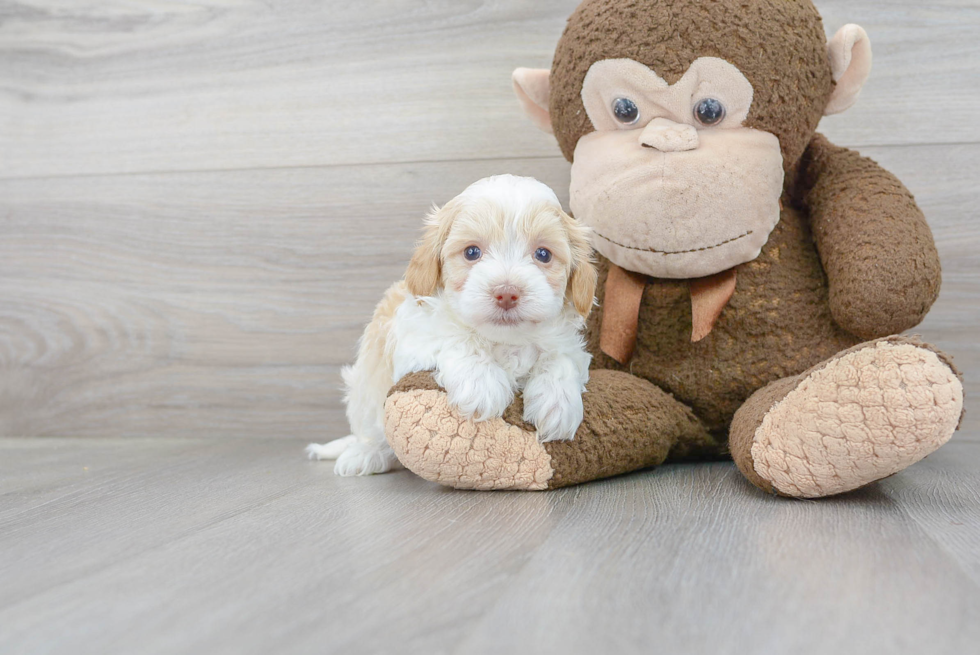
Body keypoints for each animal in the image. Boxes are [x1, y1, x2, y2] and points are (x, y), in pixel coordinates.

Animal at [306, 174, 596, 476]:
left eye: (543, 254)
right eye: (472, 252)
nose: (506, 293)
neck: (505, 340)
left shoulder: (570, 345)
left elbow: (560, 358)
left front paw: (558, 402)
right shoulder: (415, 334)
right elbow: (456, 338)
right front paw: (481, 385)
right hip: (366, 391)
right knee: (374, 432)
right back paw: (364, 454)